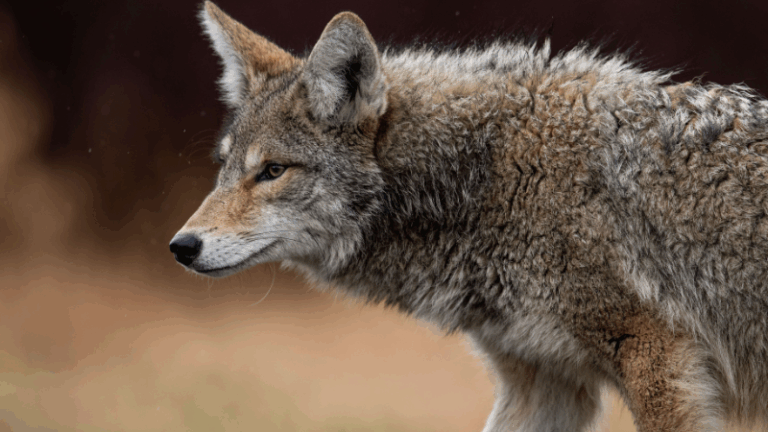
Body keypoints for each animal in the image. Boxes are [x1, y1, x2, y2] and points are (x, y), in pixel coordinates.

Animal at [170, 2, 768, 431]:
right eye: (224, 167)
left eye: (272, 171)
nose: (182, 246)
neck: (489, 176)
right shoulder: (541, 385)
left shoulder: (657, 360)